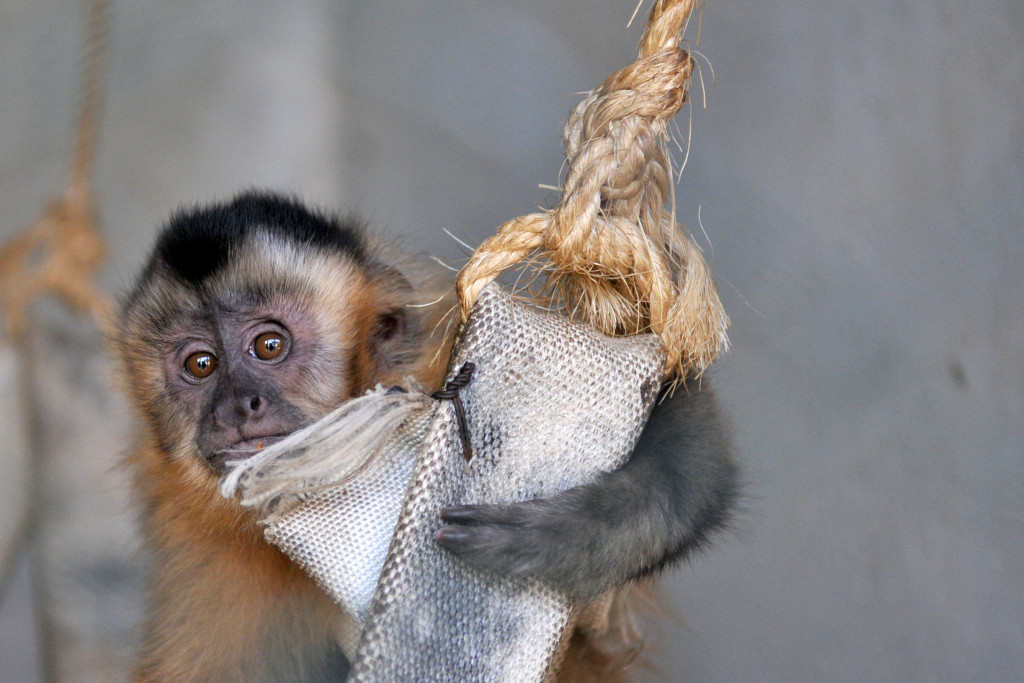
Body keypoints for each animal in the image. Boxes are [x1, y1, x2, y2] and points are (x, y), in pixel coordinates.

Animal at [116, 192, 737, 683]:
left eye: (269, 346)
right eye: (200, 365)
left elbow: (679, 406)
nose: (237, 406)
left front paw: (568, 536)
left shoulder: (436, 362)